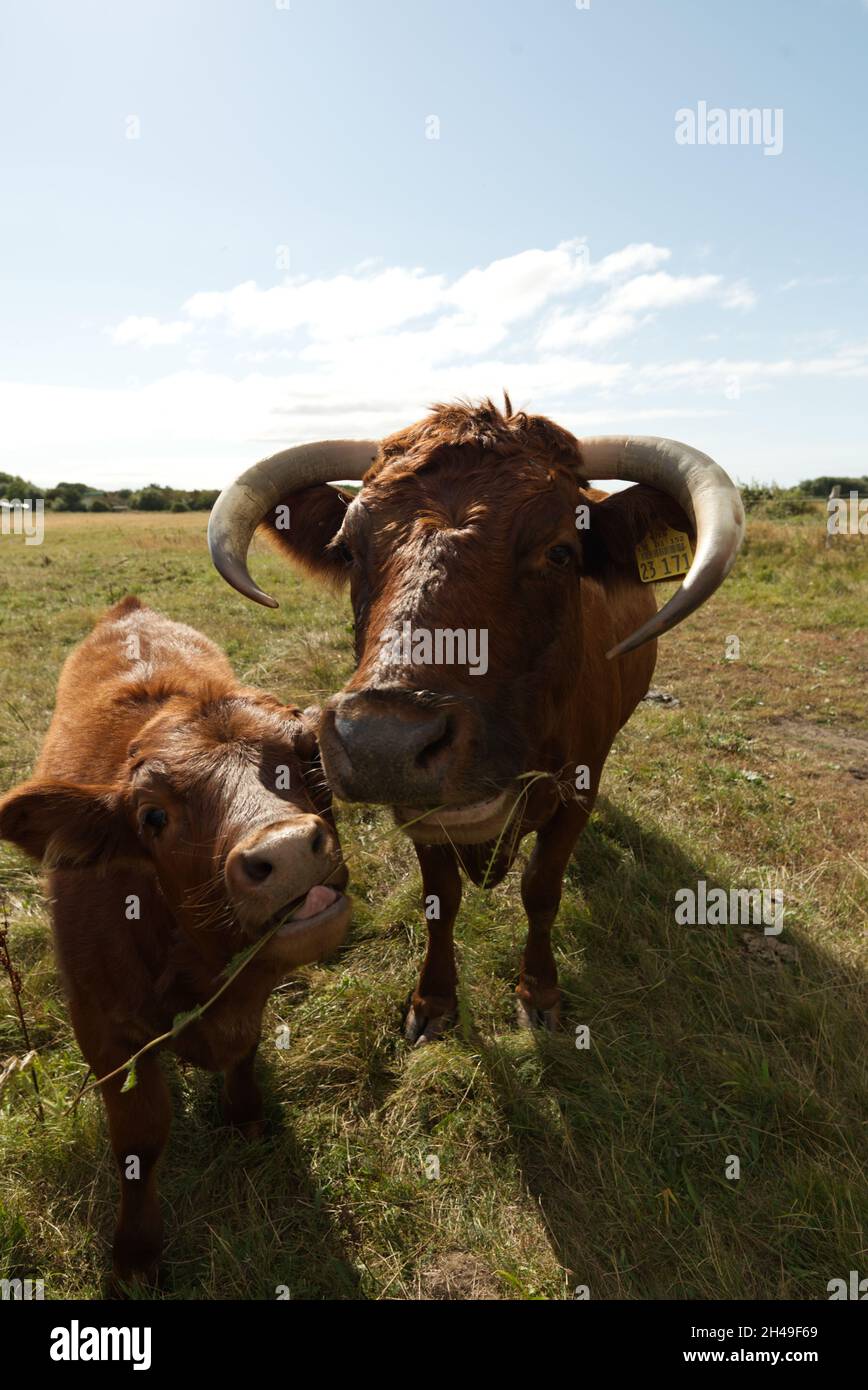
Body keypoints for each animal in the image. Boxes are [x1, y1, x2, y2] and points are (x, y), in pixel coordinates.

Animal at [0, 597, 353, 1289]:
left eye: (307, 763)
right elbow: (139, 1138)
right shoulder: (102, 1028)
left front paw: (245, 1117)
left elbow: (245, 1050)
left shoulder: (248, 996)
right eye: (153, 816)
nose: (288, 852)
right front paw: (136, 1255)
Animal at [207, 391, 740, 1045]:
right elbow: (441, 898)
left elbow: (541, 890)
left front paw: (539, 992)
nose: (383, 742)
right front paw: (434, 1000)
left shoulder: (578, 792)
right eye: (348, 549)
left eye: (560, 551)